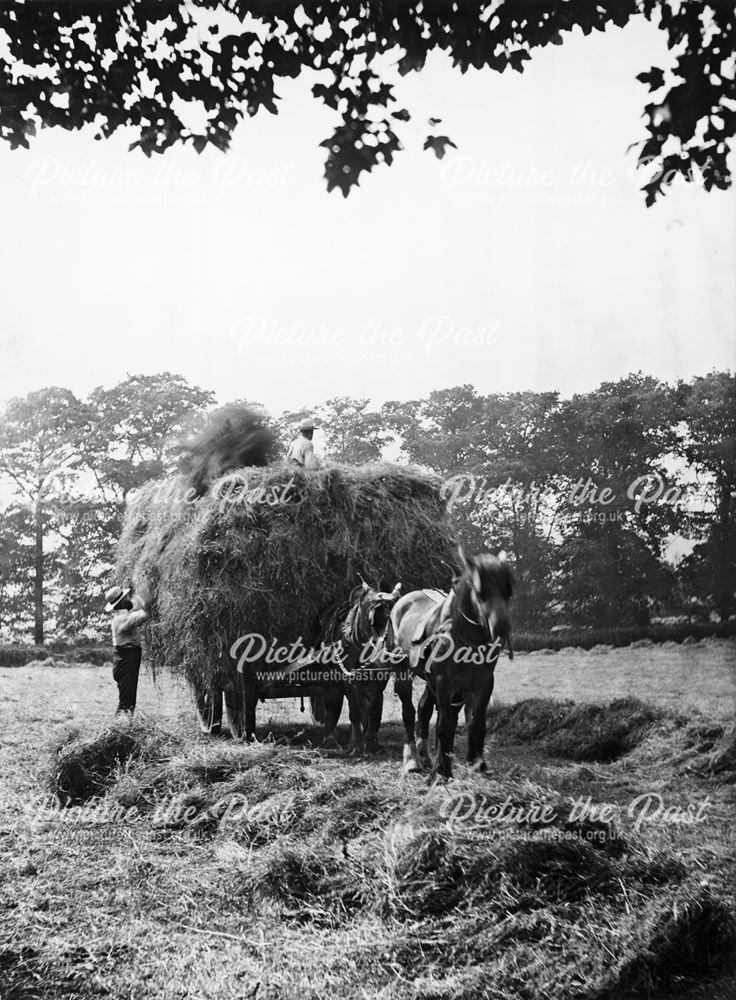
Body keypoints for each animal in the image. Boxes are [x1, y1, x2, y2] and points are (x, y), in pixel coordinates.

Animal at [310, 584, 402, 752]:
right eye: (369, 601)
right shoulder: (350, 679)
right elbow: (354, 711)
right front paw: (357, 745)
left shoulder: (379, 679)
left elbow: (372, 709)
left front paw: (371, 741)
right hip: (331, 681)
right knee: (333, 706)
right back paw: (330, 739)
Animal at [388, 548, 516, 780]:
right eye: (479, 590)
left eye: (508, 590)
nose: (501, 626)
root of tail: (402, 602)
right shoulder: (444, 682)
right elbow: (444, 725)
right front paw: (441, 771)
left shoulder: (483, 683)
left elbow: (476, 724)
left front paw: (477, 764)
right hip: (403, 670)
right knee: (409, 712)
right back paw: (412, 760)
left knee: (424, 707)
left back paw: (425, 756)